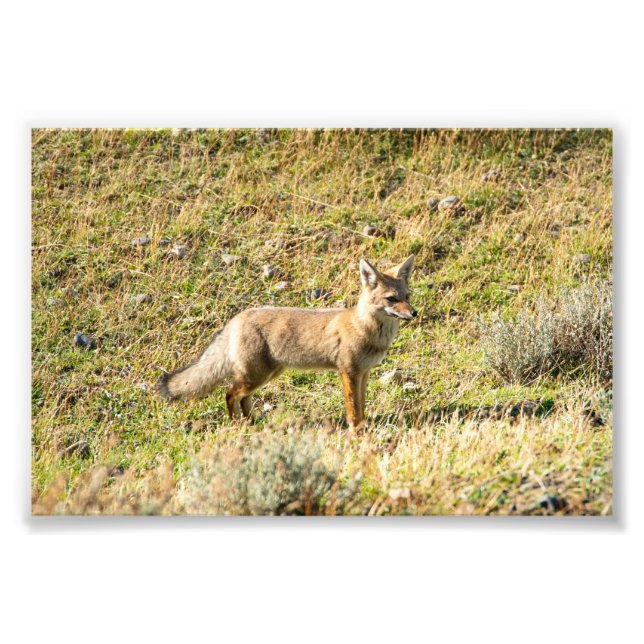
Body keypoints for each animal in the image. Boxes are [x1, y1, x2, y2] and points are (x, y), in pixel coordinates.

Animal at [158, 255, 417, 430]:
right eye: (391, 299)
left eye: (407, 296)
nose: (414, 313)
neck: (365, 329)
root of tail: (238, 317)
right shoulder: (349, 372)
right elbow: (353, 409)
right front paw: (356, 433)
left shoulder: (363, 373)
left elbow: (361, 405)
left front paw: (364, 428)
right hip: (256, 376)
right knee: (230, 394)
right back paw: (236, 426)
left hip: (265, 375)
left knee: (243, 399)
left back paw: (252, 423)